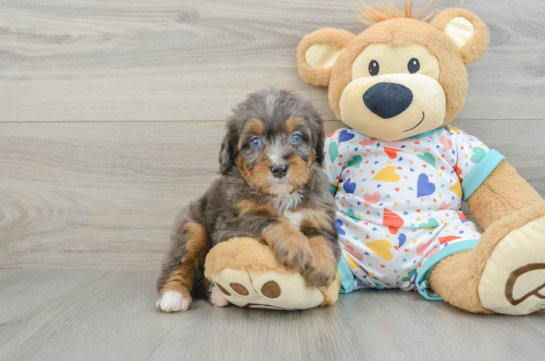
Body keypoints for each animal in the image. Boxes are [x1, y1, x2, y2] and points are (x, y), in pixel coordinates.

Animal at [155, 88, 338, 310]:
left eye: (296, 137)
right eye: (255, 142)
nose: (279, 168)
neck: (282, 196)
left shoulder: (320, 215)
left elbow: (322, 238)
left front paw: (322, 265)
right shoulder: (228, 225)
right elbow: (269, 220)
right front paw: (296, 247)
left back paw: (217, 294)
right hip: (191, 225)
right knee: (178, 263)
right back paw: (174, 295)